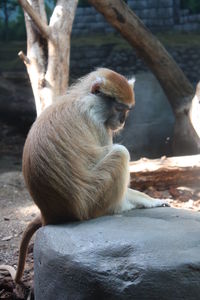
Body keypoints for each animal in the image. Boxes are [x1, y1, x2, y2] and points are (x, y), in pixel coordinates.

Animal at [0, 68, 169, 284]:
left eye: (127, 110)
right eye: (119, 108)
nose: (122, 120)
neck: (85, 96)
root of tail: (50, 213)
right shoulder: (97, 120)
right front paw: (148, 200)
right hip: (93, 200)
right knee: (120, 152)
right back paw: (122, 206)